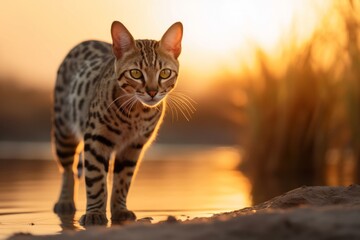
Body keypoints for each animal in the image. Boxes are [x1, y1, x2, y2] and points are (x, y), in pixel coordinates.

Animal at [51, 20, 183, 225]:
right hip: (64, 131)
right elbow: (96, 179)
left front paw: (119, 210)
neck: (136, 114)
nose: (152, 92)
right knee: (67, 169)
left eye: (165, 73)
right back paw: (65, 202)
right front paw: (94, 213)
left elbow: (123, 180)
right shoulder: (96, 139)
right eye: (135, 73)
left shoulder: (134, 146)